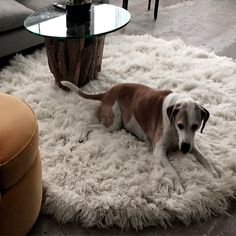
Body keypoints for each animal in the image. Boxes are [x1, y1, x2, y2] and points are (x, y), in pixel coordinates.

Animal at [61, 81, 219, 194]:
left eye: (195, 126)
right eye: (180, 125)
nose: (185, 149)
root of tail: (107, 93)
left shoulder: (191, 143)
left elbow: (205, 158)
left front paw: (213, 173)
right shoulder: (159, 152)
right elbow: (173, 171)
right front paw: (179, 185)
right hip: (114, 124)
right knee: (87, 126)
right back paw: (82, 136)